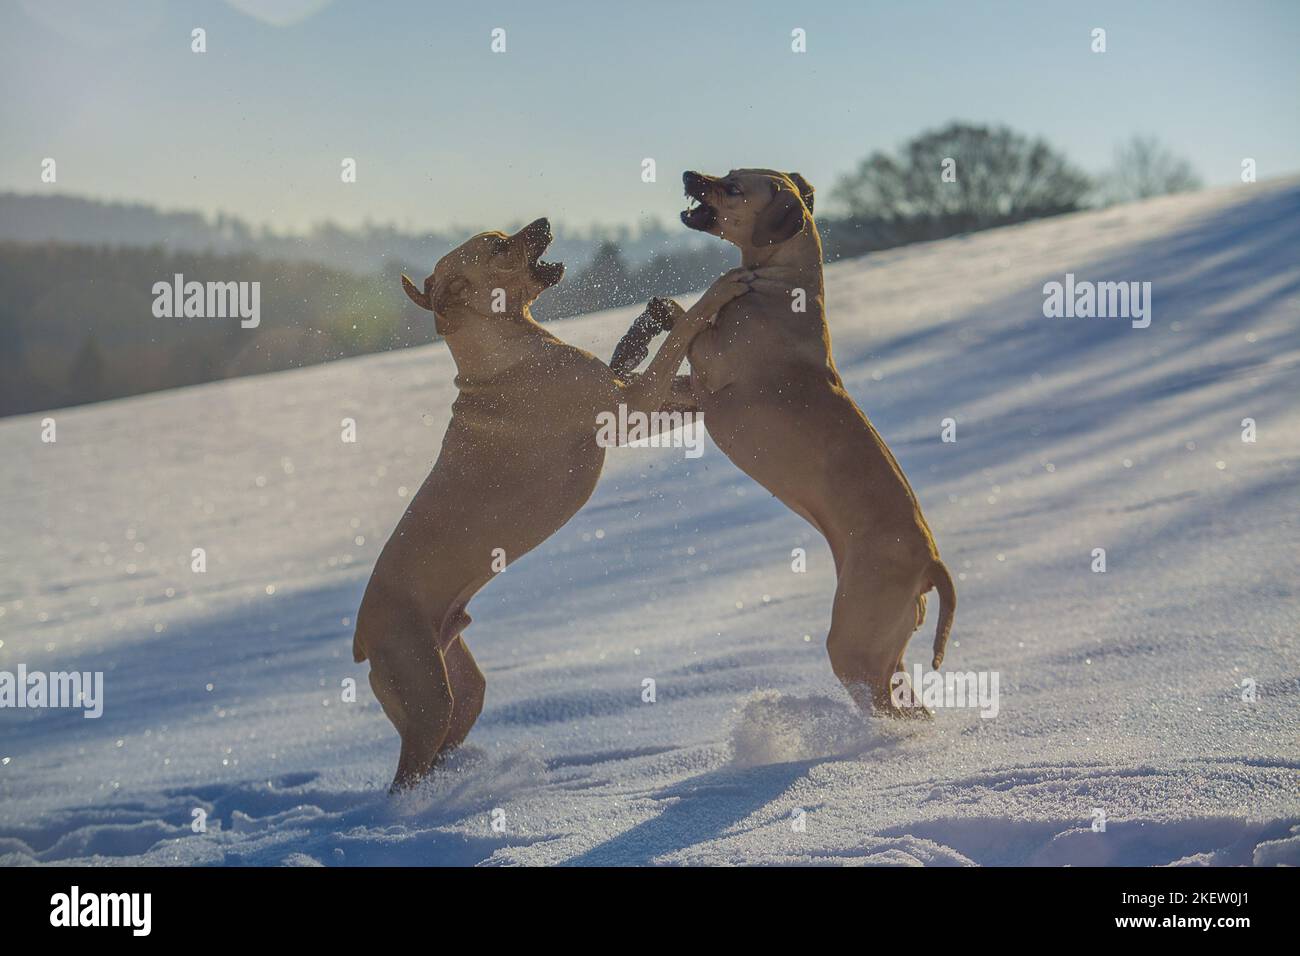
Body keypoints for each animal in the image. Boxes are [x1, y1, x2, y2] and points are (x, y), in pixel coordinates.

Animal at [353, 218, 754, 790]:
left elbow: (680, 376)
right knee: (406, 778)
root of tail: (363, 634)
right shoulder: (629, 403)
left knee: (445, 745)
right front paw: (717, 293)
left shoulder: (637, 405)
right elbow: (683, 335)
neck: (505, 354)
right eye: (498, 247)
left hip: (459, 691)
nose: (543, 222)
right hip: (425, 693)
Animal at [670, 170, 956, 717]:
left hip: (853, 642)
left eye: (734, 187)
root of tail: (931, 561)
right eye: (726, 172)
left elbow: (683, 316)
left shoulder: (710, 363)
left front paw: (696, 297)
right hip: (886, 643)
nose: (689, 176)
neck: (783, 285)